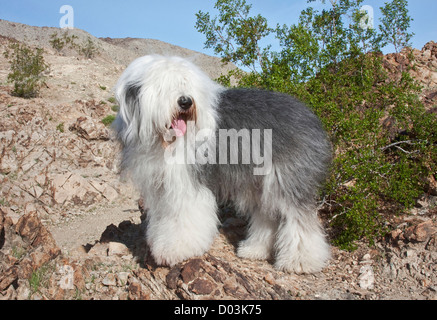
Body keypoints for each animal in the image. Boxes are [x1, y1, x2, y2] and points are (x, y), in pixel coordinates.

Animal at [112, 55, 330, 272]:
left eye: (185, 83)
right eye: (163, 86)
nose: (185, 101)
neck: (165, 140)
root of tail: (309, 114)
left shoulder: (189, 183)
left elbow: (184, 218)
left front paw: (174, 249)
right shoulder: (162, 186)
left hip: (287, 178)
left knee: (298, 218)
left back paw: (300, 261)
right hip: (261, 182)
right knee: (268, 214)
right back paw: (255, 249)